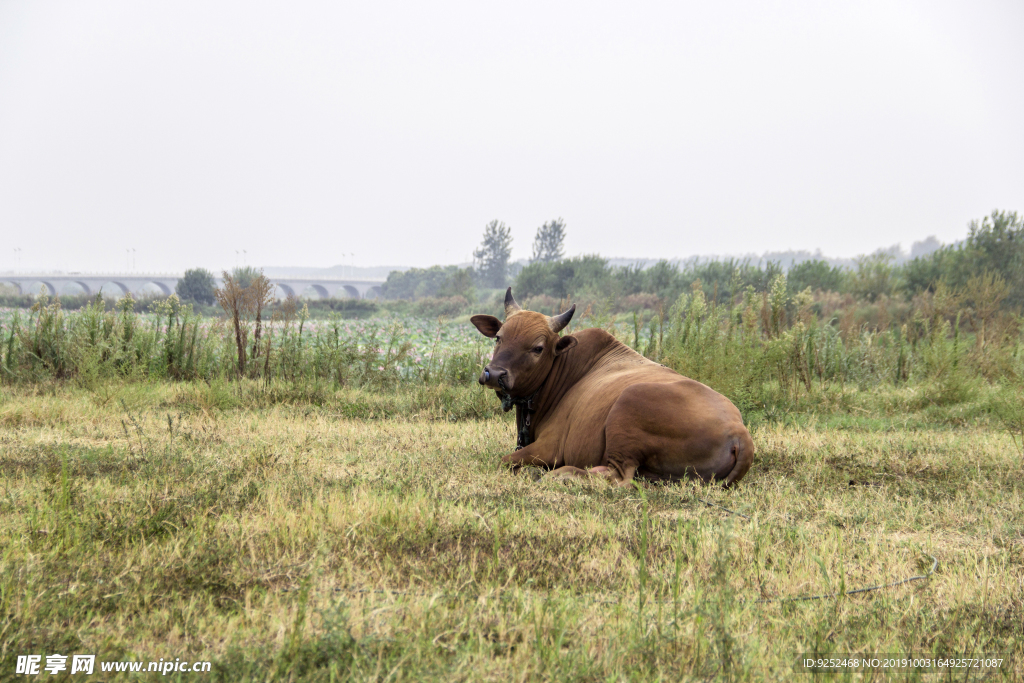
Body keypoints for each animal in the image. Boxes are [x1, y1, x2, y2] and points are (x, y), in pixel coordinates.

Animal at [471, 288, 753, 485]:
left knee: (619, 477)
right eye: (498, 337)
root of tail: (738, 431)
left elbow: (505, 460)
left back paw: (563, 475)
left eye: (538, 348)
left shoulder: (549, 448)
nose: (495, 374)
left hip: (628, 404)